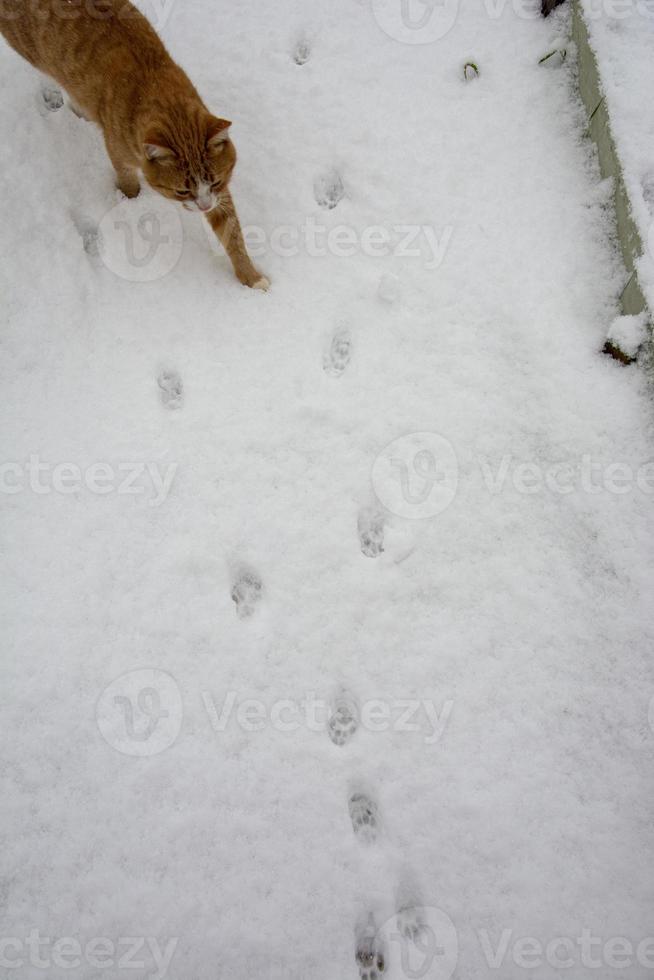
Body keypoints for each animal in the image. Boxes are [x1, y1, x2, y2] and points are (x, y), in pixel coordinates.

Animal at [1, 0, 270, 290]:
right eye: (182, 191)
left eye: (217, 182)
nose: (205, 207)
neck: (156, 88)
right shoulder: (120, 154)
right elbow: (127, 180)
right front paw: (131, 202)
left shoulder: (220, 193)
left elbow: (232, 232)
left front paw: (250, 276)